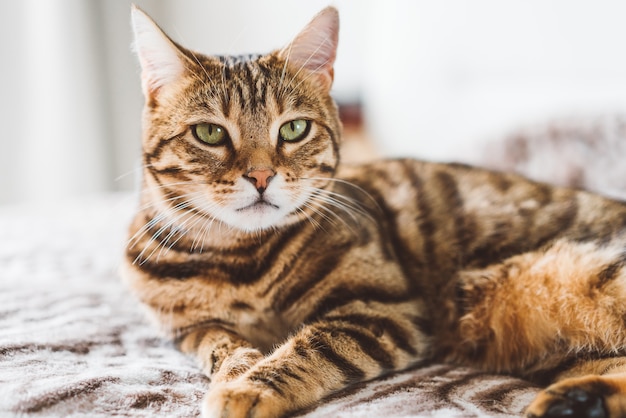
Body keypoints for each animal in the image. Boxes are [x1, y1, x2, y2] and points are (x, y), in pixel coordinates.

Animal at [123, 5, 626, 418]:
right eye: (209, 133)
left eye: (294, 129)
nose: (262, 176)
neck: (238, 261)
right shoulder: (189, 330)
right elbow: (224, 348)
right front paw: (237, 371)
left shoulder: (384, 309)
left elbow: (307, 349)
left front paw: (248, 389)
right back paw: (576, 401)